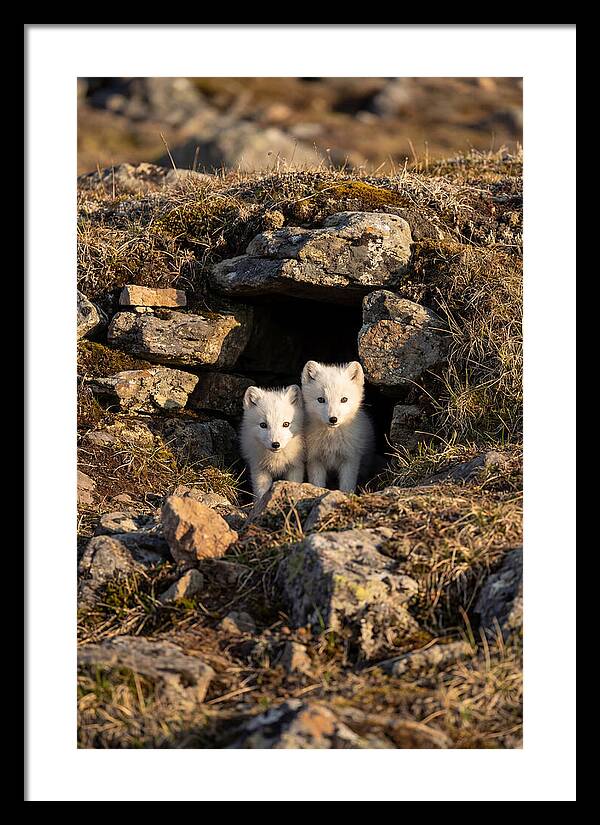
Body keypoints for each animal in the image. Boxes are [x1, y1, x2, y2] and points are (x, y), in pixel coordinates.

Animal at [301, 360, 375, 493]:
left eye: (344, 399)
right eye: (321, 399)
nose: (333, 419)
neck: (331, 440)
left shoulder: (350, 459)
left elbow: (347, 486)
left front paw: (347, 495)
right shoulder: (314, 459)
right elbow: (317, 483)